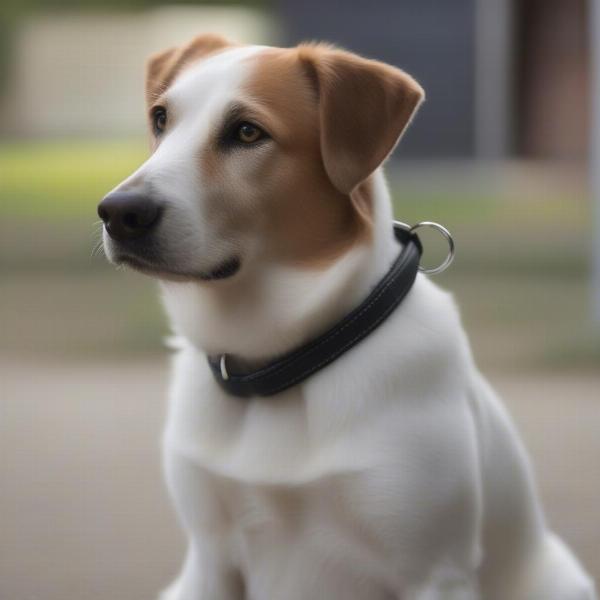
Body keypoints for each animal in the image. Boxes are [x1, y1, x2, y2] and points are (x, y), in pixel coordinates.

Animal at [98, 36, 596, 600]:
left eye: (247, 132)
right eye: (161, 118)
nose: (118, 212)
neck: (279, 360)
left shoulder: (433, 572)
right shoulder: (209, 559)